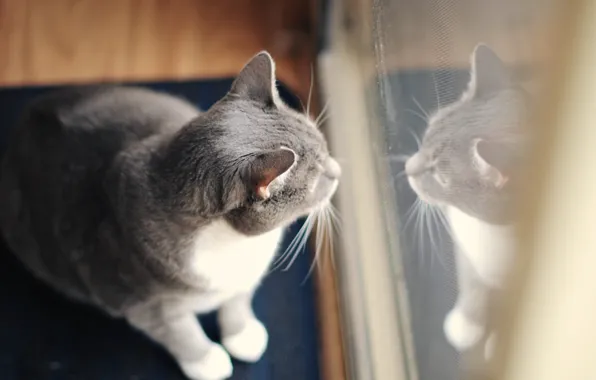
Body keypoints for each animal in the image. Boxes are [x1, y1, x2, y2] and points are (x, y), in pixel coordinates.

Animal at [0, 52, 340, 380]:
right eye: (318, 178)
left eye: (326, 149)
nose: (338, 171)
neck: (230, 243)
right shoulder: (138, 300)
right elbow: (179, 331)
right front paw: (207, 361)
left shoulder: (247, 275)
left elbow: (238, 299)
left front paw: (242, 335)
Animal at [406, 43, 528, 360]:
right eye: (427, 134)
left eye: (439, 175)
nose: (408, 168)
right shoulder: (465, 248)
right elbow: (471, 282)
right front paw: (466, 324)